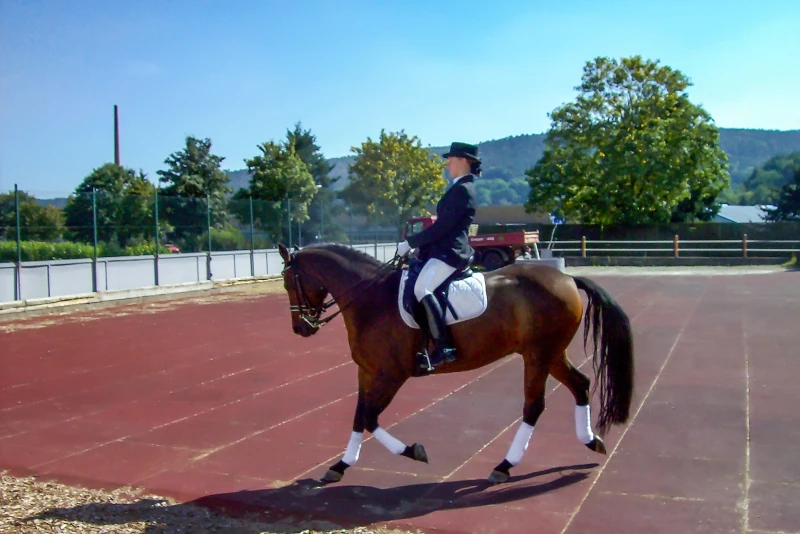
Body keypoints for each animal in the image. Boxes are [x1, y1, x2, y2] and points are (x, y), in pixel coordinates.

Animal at [276, 242, 634, 484]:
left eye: (288, 282)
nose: (300, 328)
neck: (370, 298)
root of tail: (569, 279)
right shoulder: (367, 372)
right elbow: (359, 417)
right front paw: (339, 466)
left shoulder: (392, 374)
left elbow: (369, 417)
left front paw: (413, 451)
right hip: (551, 354)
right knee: (580, 385)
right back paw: (591, 441)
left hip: (538, 355)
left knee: (534, 406)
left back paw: (504, 466)